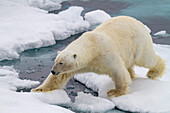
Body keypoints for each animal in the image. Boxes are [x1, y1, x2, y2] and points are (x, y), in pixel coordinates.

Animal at [31, 15, 165, 97]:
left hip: (138, 41)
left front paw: (114, 92)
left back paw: (153, 72)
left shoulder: (105, 53)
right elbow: (58, 78)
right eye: (55, 61)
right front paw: (38, 89)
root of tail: (138, 22)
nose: (53, 71)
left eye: (61, 63)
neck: (92, 46)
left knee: (146, 59)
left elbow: (118, 71)